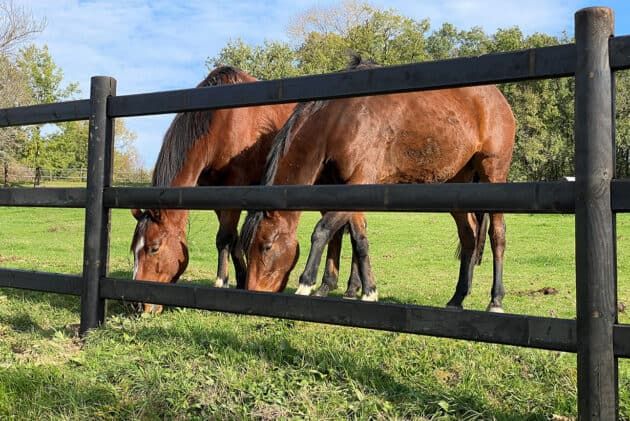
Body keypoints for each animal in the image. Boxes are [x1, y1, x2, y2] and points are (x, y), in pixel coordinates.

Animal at [242, 55, 520, 310]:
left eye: (266, 247)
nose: (253, 292)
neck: (340, 118)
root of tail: (498, 99)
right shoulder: (349, 187)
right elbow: (359, 239)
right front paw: (368, 291)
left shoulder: (358, 182)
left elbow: (323, 230)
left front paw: (307, 284)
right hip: (456, 183)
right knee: (469, 236)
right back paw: (457, 298)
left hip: (493, 173)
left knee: (498, 235)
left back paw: (495, 300)